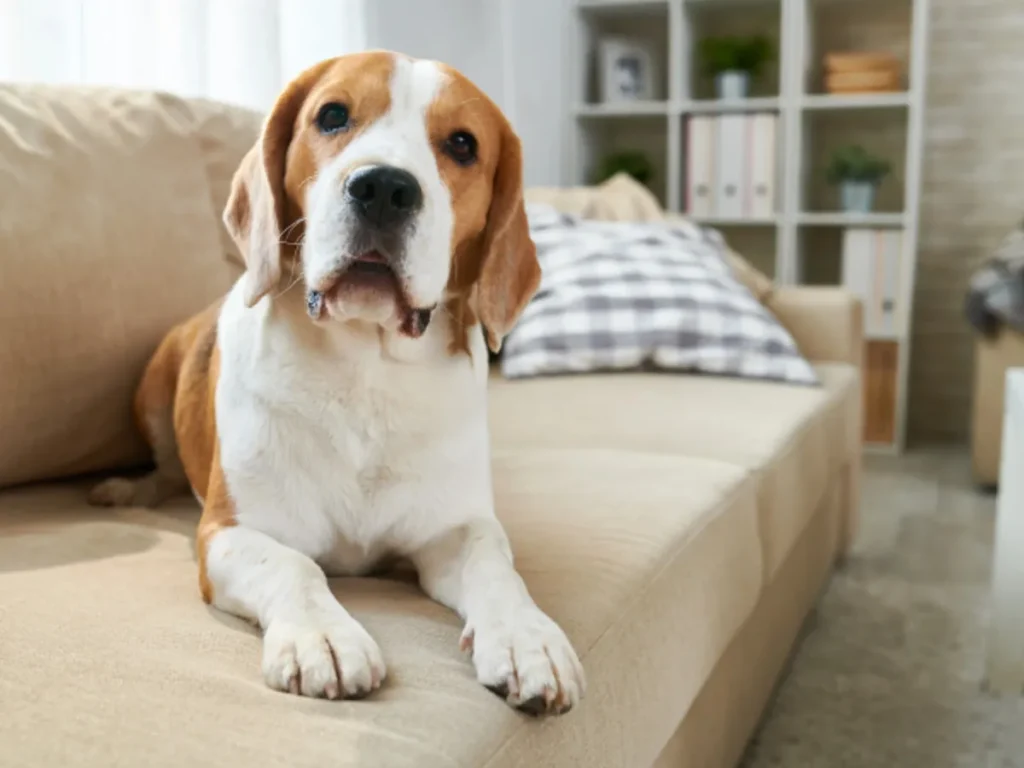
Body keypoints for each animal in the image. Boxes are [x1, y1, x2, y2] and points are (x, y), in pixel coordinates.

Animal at [90, 52, 585, 716]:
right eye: (331, 115)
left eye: (462, 144)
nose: (384, 188)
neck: (364, 370)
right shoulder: (228, 534)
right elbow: (294, 565)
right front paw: (320, 635)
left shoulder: (453, 529)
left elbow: (495, 564)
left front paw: (527, 637)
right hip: (153, 384)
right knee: (165, 468)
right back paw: (127, 489)